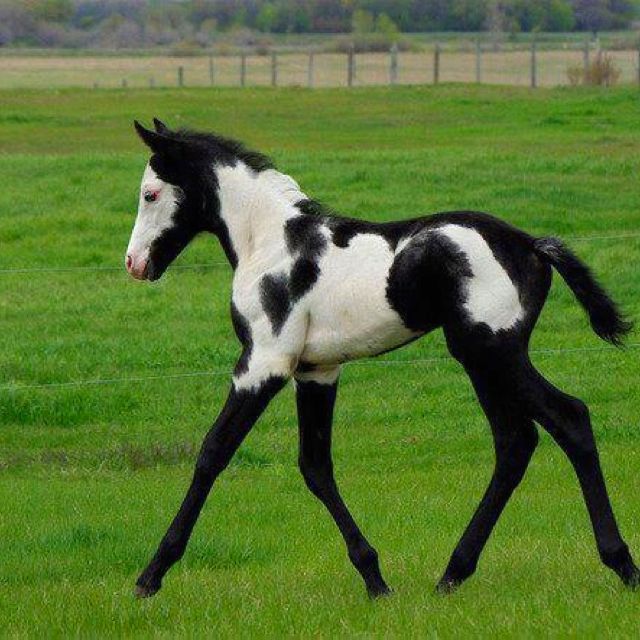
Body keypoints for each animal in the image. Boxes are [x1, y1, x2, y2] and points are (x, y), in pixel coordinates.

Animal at [126, 118, 637, 599]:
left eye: (150, 193)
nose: (134, 264)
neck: (272, 245)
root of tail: (531, 245)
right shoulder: (316, 371)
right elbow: (315, 467)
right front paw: (374, 578)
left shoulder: (263, 365)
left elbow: (213, 453)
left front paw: (152, 574)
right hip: (483, 361)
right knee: (515, 444)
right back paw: (453, 574)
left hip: (493, 352)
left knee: (569, 418)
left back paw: (621, 565)